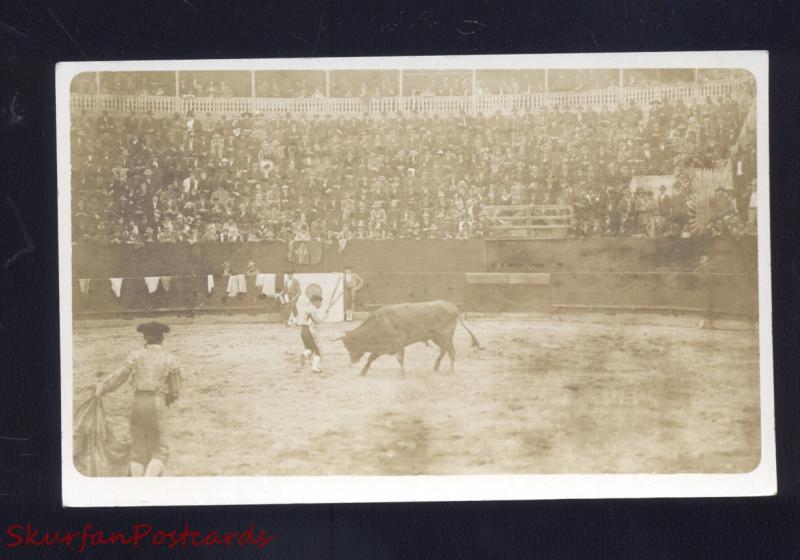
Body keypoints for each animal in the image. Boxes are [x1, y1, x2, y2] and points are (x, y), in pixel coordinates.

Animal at [338, 302, 482, 376]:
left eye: (350, 346)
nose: (352, 361)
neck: (379, 323)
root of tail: (453, 307)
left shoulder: (398, 342)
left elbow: (399, 358)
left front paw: (401, 373)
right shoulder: (384, 346)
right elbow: (371, 358)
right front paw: (362, 372)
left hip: (445, 336)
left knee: (451, 351)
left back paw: (450, 371)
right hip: (436, 337)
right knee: (444, 350)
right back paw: (435, 367)